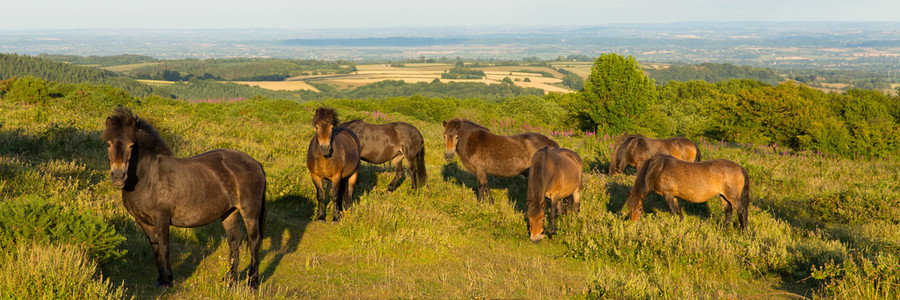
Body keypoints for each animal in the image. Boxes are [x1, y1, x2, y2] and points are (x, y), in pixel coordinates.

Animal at [103, 108, 264, 288]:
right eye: (108, 144)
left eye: (131, 146)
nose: (118, 176)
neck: (148, 177)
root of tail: (256, 164)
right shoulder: (143, 221)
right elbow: (156, 248)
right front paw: (160, 278)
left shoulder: (162, 218)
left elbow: (164, 246)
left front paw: (167, 280)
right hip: (229, 212)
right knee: (235, 240)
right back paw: (230, 279)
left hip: (250, 213)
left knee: (254, 242)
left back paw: (252, 282)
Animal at [624, 154, 752, 231]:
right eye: (628, 208)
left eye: (640, 208)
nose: (633, 224)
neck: (657, 169)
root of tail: (740, 168)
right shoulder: (673, 195)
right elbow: (677, 210)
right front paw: (681, 224)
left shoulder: (667, 194)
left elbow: (672, 210)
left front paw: (673, 226)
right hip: (723, 196)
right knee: (728, 212)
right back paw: (724, 229)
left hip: (733, 197)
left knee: (742, 211)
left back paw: (744, 232)